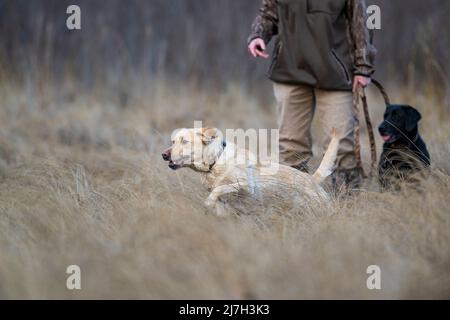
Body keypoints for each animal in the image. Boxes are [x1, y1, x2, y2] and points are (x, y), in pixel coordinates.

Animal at [162, 127, 338, 215]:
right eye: (173, 141)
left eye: (184, 141)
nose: (164, 155)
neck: (216, 160)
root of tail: (313, 179)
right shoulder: (223, 204)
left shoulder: (246, 185)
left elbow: (219, 189)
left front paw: (208, 201)